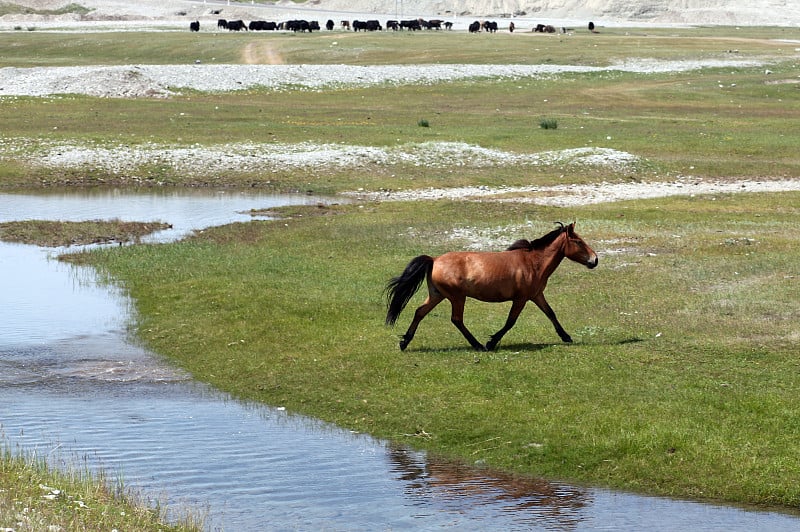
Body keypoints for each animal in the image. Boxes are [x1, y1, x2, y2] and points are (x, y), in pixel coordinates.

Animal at [384, 222, 596, 352]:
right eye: (578, 241)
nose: (595, 260)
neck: (533, 263)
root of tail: (434, 260)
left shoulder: (536, 295)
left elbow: (551, 313)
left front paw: (566, 336)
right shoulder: (521, 298)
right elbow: (510, 322)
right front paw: (491, 342)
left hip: (438, 295)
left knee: (420, 312)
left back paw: (404, 342)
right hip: (456, 297)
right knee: (456, 319)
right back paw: (478, 345)